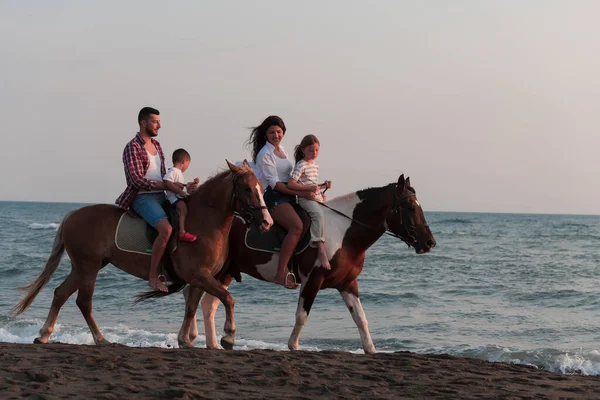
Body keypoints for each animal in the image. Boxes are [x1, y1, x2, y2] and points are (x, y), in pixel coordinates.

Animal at [12, 161, 272, 346]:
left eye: (261, 188)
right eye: (247, 189)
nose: (266, 222)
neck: (203, 222)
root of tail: (72, 215)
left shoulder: (200, 278)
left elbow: (191, 308)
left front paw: (184, 340)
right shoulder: (199, 275)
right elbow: (228, 298)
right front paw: (228, 336)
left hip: (84, 267)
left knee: (61, 294)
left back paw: (44, 335)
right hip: (89, 267)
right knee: (83, 302)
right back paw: (100, 339)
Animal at [182, 175, 436, 354]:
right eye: (411, 207)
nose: (429, 243)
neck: (343, 234)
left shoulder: (348, 284)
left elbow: (361, 318)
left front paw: (371, 349)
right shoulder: (313, 280)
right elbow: (302, 315)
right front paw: (293, 346)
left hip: (226, 272)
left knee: (208, 303)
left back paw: (213, 343)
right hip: (218, 271)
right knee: (201, 298)